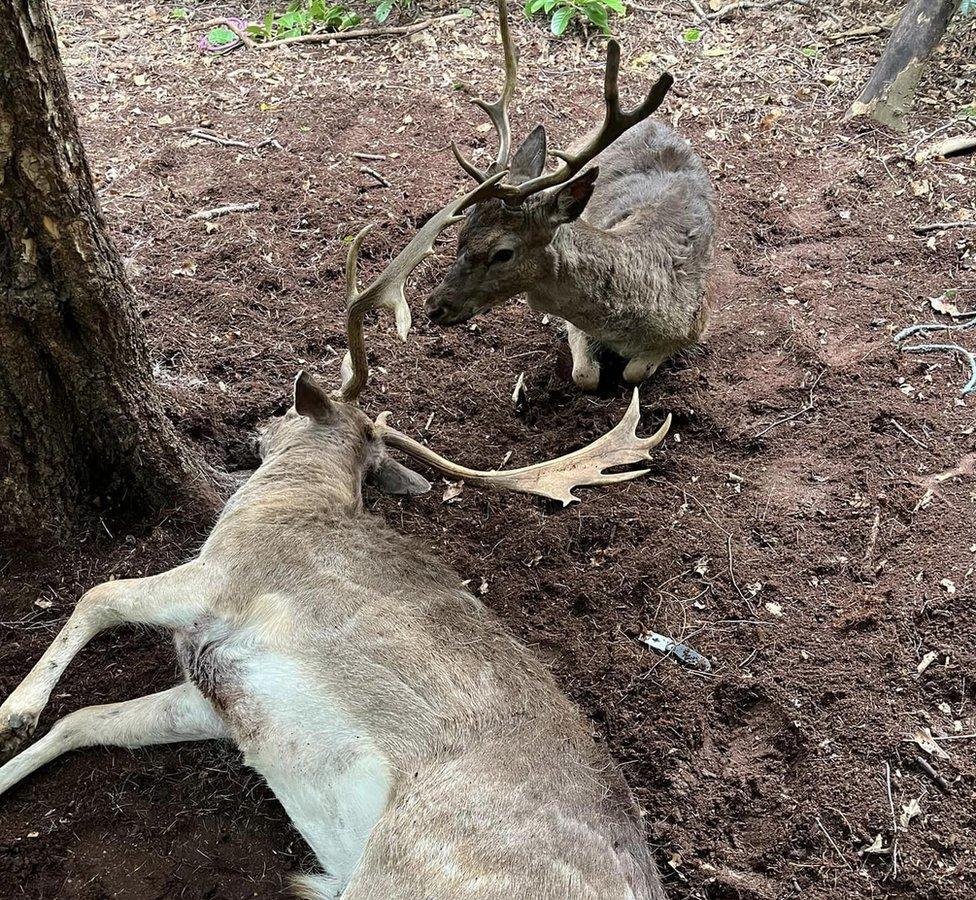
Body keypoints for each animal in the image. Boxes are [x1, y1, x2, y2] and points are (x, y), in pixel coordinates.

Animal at [0, 172, 672, 896]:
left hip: (406, 867)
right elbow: (88, 719)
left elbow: (100, 593)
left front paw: (15, 711)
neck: (284, 499)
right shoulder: (215, 694)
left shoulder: (225, 576)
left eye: (285, 405)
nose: (253, 428)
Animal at [428, 0, 716, 394]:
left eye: (503, 253)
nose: (434, 306)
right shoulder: (575, 328)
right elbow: (585, 375)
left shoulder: (698, 321)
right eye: (460, 236)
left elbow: (634, 371)